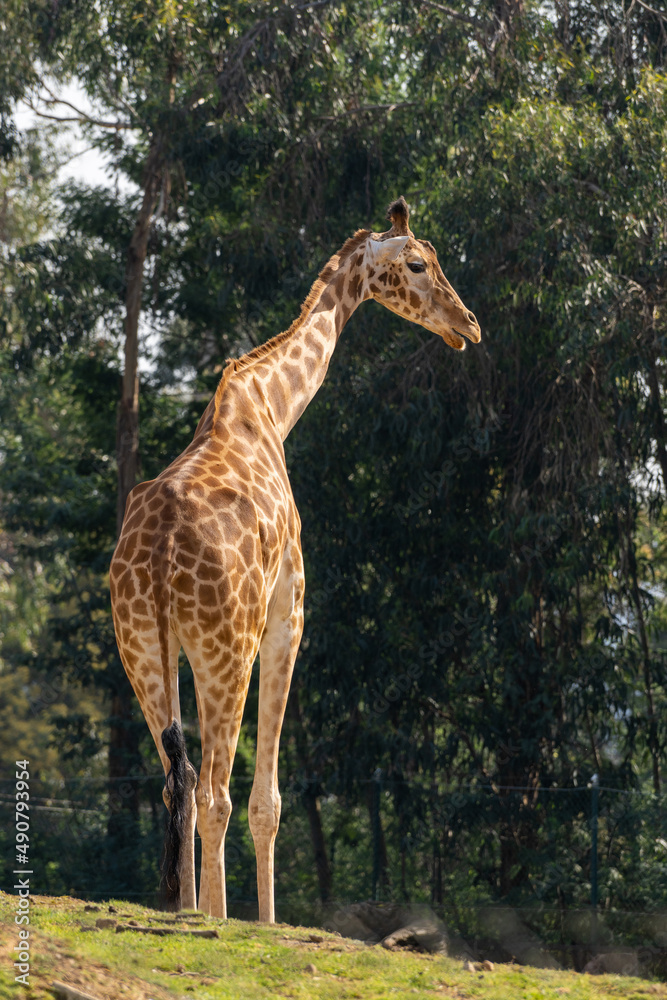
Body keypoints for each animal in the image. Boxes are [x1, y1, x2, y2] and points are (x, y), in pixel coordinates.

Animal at [109, 195, 480, 920]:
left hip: (140, 648)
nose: (468, 326)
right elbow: (268, 803)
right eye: (417, 264)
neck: (271, 407)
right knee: (213, 791)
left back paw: (187, 911)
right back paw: (217, 919)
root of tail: (159, 555)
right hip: (225, 648)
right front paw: (260, 922)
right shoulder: (289, 610)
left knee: (177, 781)